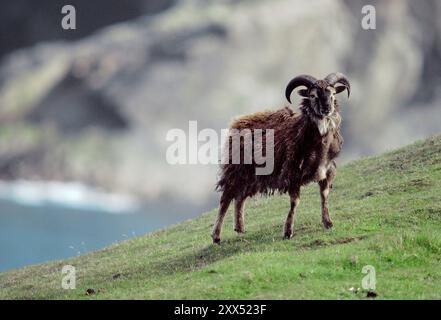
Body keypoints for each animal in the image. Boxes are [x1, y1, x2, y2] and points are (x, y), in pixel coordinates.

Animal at [211, 72, 350, 242]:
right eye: (313, 95)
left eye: (333, 94)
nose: (327, 109)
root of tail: (237, 121)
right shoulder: (293, 173)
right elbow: (295, 202)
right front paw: (288, 231)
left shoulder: (327, 170)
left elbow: (324, 195)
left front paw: (328, 222)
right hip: (236, 169)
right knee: (225, 199)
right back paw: (216, 236)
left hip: (251, 176)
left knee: (240, 198)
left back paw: (240, 228)